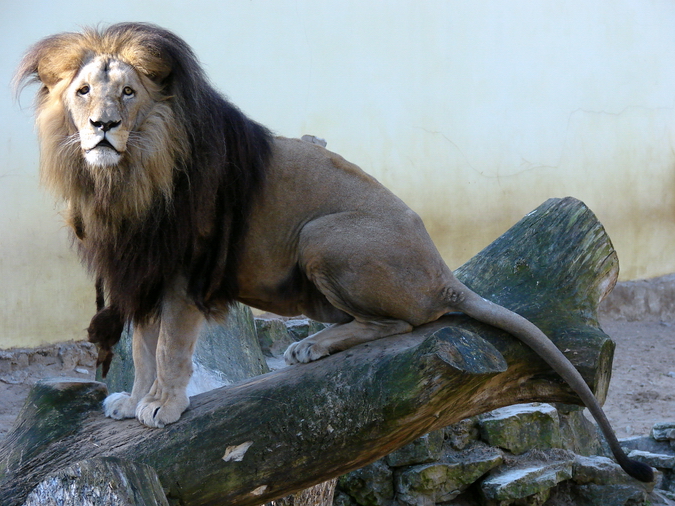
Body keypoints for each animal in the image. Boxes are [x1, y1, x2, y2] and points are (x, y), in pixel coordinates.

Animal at [15, 23, 651, 482]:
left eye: (128, 92)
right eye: (82, 92)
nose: (102, 125)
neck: (123, 178)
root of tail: (442, 269)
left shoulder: (183, 272)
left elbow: (170, 348)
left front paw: (164, 407)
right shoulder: (142, 270)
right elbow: (144, 347)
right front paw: (133, 401)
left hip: (322, 235)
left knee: (400, 324)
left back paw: (313, 347)